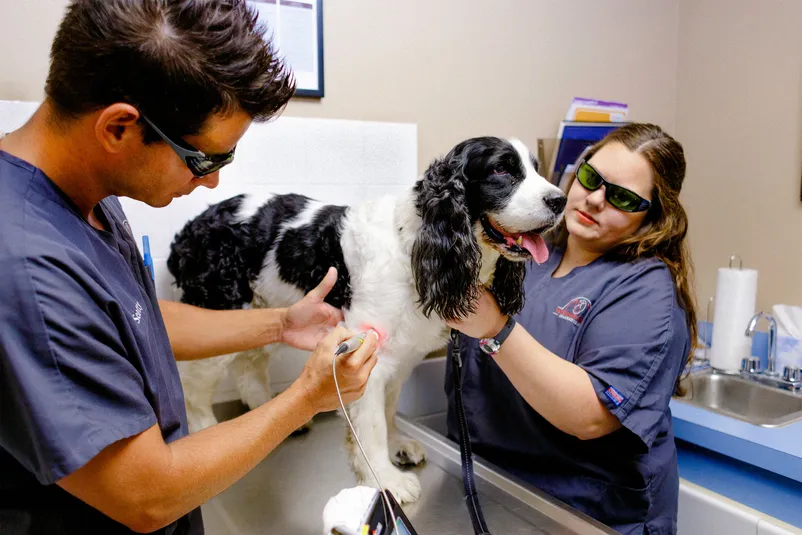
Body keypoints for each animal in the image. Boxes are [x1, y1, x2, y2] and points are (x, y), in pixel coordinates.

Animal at [166, 136, 564, 504]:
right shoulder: (366, 354)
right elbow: (370, 425)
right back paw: (205, 431)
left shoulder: (401, 357)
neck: (414, 247)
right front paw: (384, 479)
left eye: (536, 169)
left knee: (249, 366)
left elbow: (388, 411)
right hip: (219, 310)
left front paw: (396, 445)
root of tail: (190, 227)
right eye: (501, 170)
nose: (559, 200)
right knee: (193, 383)